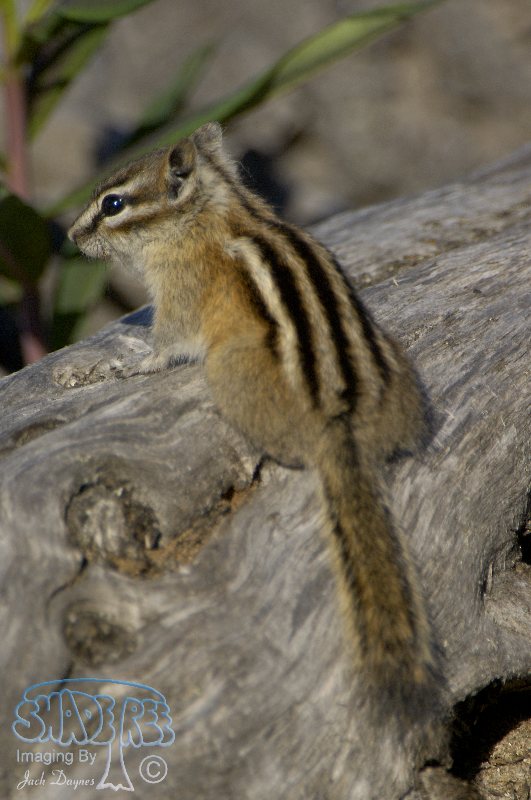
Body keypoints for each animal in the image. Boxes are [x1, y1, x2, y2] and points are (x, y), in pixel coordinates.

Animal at [68, 122, 443, 728]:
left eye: (114, 204)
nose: (72, 237)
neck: (215, 208)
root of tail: (339, 423)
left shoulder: (179, 291)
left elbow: (166, 343)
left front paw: (127, 365)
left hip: (229, 374)